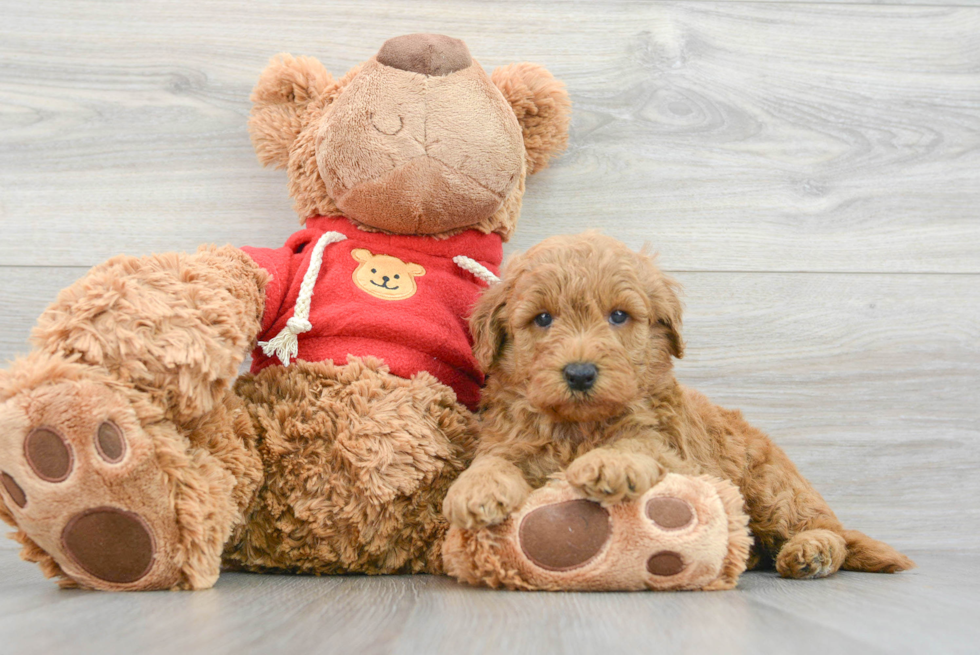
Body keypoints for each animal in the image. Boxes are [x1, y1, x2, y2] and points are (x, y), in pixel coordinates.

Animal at [444, 232, 912, 580]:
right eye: (542, 319)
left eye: (618, 316)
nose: (579, 374)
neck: (578, 427)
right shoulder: (507, 438)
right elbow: (493, 460)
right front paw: (475, 488)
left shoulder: (678, 454)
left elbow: (638, 444)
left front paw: (610, 462)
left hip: (771, 487)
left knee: (825, 529)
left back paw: (811, 551)